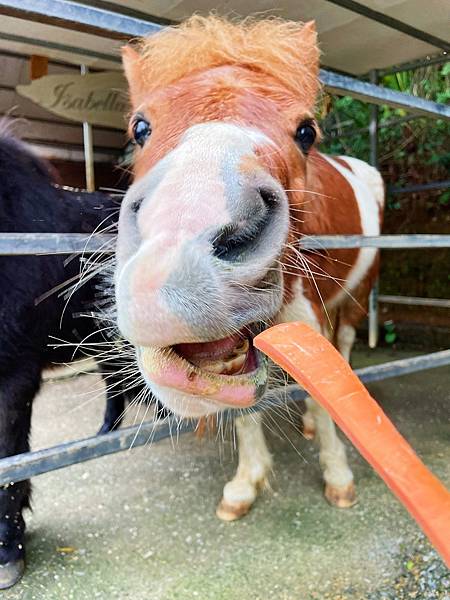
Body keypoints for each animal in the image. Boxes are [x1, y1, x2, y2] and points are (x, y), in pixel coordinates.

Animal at [115, 16, 384, 524]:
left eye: (305, 131)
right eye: (141, 127)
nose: (180, 256)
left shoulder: (310, 319)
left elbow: (324, 391)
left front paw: (339, 477)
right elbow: (244, 404)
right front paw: (246, 482)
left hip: (357, 296)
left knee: (343, 347)